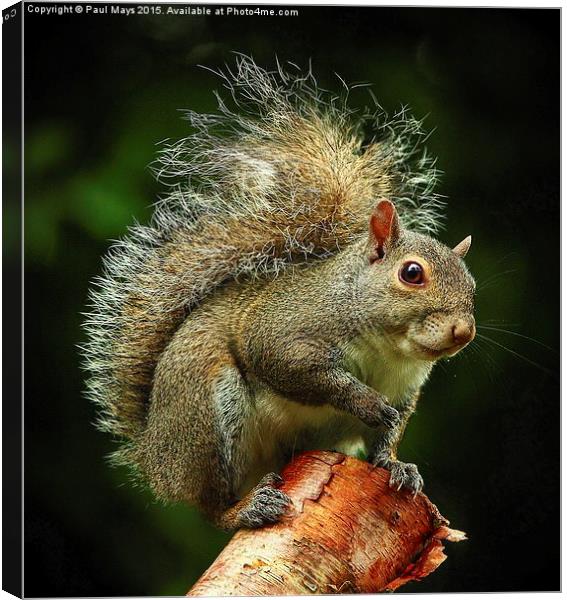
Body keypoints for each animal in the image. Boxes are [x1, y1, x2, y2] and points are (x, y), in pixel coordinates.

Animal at [82, 58, 478, 528]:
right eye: (412, 273)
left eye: (473, 286)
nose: (463, 331)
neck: (389, 349)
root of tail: (155, 457)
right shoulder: (285, 332)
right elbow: (297, 369)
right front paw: (364, 401)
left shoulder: (405, 391)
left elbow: (389, 435)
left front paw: (397, 465)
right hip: (207, 414)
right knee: (211, 506)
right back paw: (245, 508)